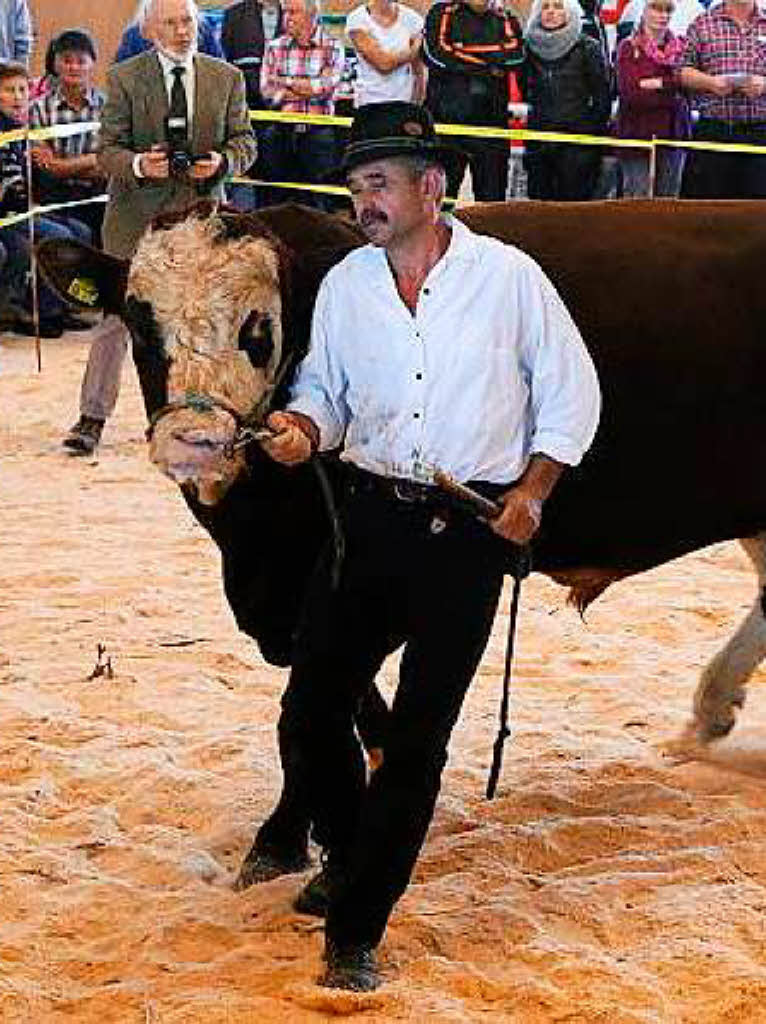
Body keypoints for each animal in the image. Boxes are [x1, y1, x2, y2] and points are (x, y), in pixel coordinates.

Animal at [37, 197, 766, 880]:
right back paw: (713, 708)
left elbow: (324, 704)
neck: (253, 531)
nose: (195, 441)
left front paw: (288, 833)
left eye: (258, 328)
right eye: (140, 323)